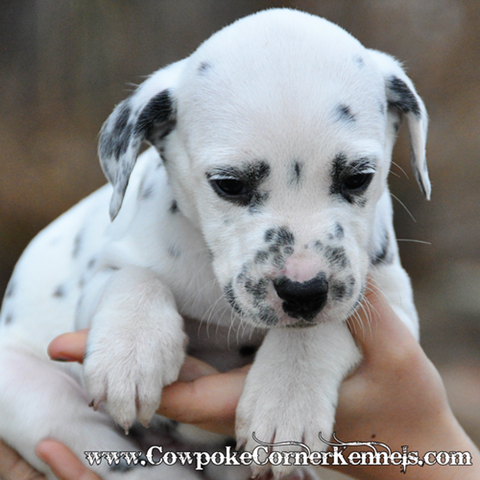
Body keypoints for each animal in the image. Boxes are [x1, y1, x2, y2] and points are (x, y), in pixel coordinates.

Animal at [0, 8, 428, 480]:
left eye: (358, 178)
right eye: (229, 184)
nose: (302, 291)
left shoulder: (392, 305)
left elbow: (329, 325)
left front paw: (286, 400)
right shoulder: (99, 277)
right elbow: (133, 276)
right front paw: (130, 353)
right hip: (25, 386)